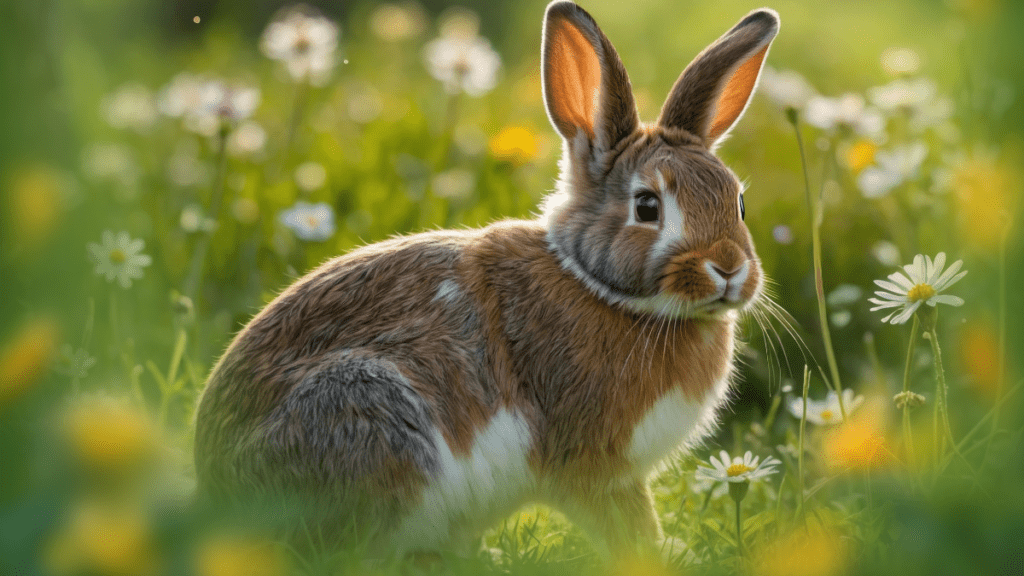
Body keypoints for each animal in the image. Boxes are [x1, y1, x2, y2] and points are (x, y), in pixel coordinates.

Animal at [194, 0, 779, 559]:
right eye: (647, 206)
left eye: (739, 203)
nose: (729, 268)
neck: (601, 289)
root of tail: (218, 494)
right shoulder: (595, 464)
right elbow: (624, 522)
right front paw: (656, 553)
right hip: (368, 412)